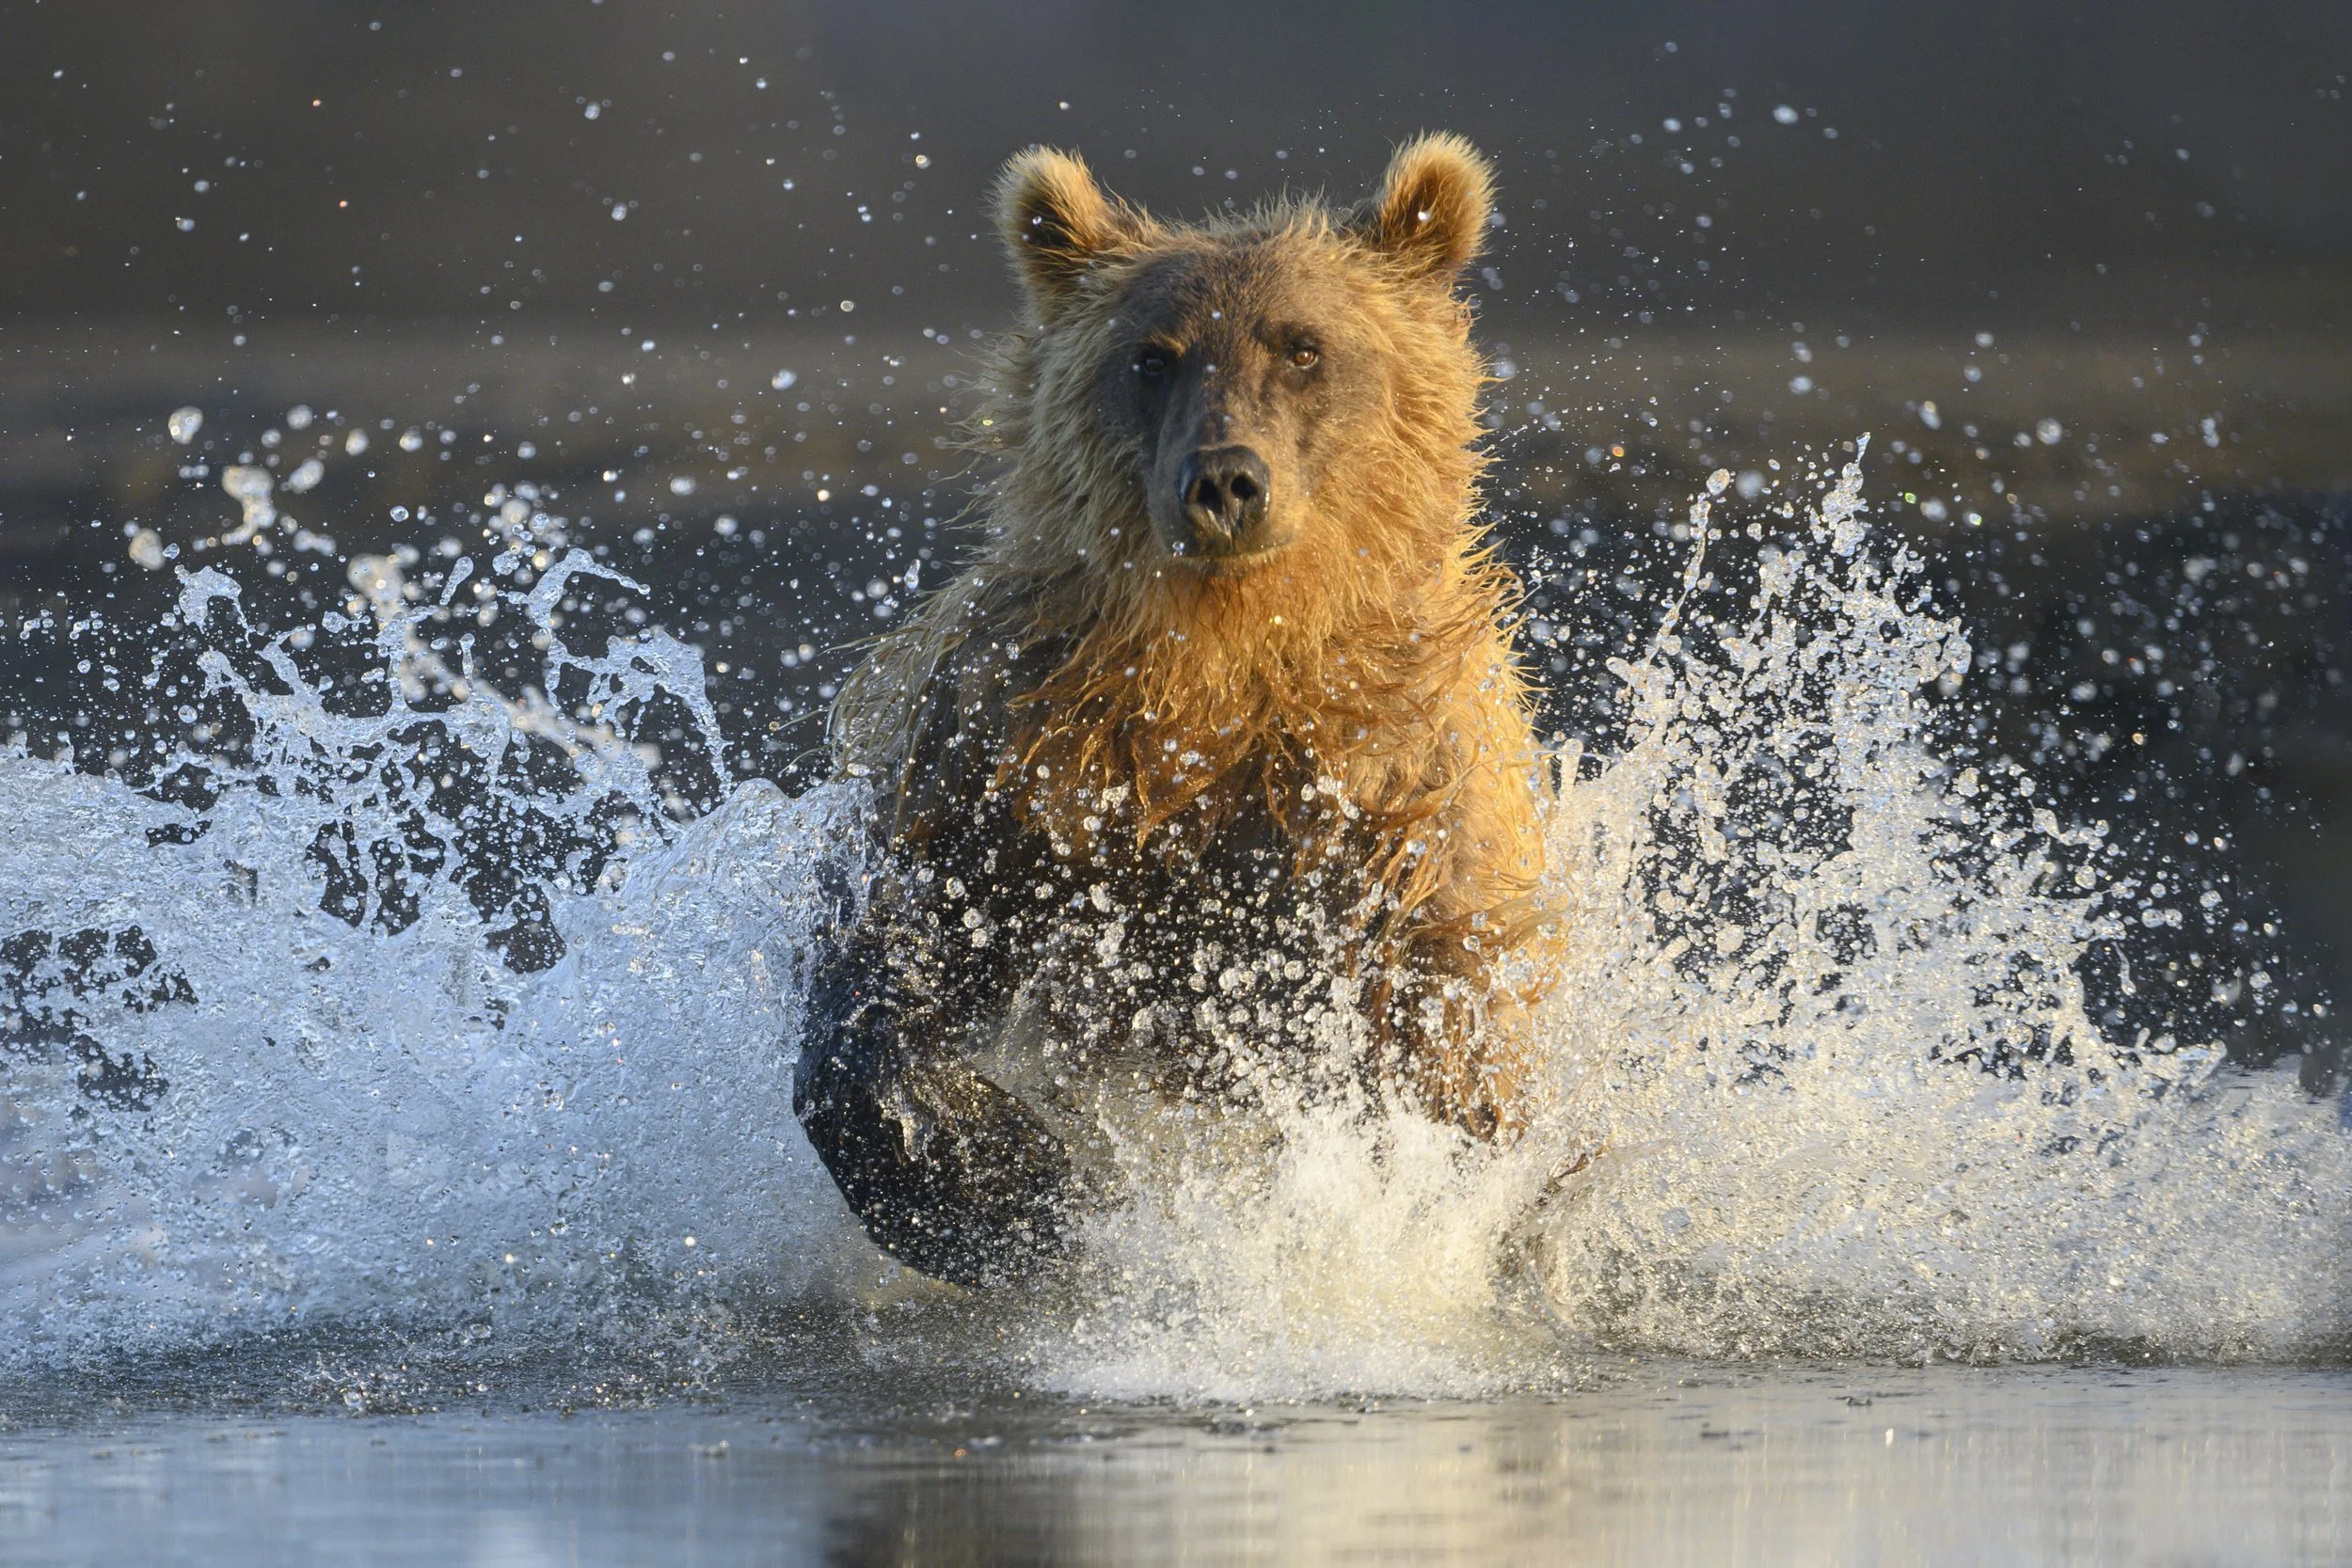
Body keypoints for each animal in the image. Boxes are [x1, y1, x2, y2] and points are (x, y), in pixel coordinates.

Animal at [795, 135, 1552, 1286]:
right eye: (1153, 356)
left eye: (1303, 347)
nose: (1226, 482)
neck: (1222, 668)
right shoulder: (1014, 751)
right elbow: (900, 946)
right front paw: (1013, 1180)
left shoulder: (1401, 779)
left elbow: (1446, 1009)